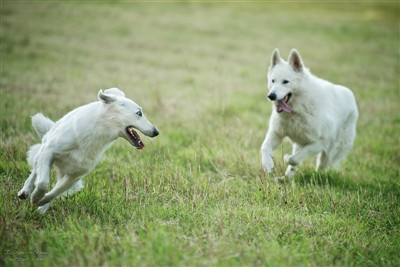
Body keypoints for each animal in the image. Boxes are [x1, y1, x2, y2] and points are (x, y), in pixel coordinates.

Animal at [18, 89, 159, 215]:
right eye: (139, 113)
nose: (156, 132)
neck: (98, 130)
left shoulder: (75, 175)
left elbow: (55, 192)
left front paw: (42, 202)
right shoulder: (49, 152)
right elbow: (43, 183)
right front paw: (36, 197)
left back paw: (42, 209)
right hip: (42, 153)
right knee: (35, 172)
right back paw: (25, 191)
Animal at [260, 49, 358, 181]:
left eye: (285, 82)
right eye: (273, 81)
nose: (271, 96)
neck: (296, 110)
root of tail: (350, 94)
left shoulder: (321, 142)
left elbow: (295, 158)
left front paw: (286, 158)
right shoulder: (277, 133)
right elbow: (265, 147)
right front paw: (268, 164)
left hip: (330, 152)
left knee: (322, 166)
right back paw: (285, 179)